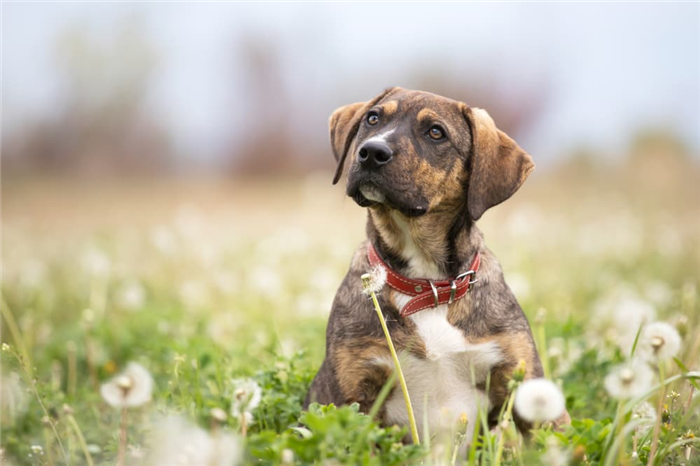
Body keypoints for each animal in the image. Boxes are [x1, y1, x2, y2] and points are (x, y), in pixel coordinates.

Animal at [304, 87, 568, 440]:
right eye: (373, 118)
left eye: (436, 132)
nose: (371, 152)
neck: (428, 284)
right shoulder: (352, 392)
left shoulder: (522, 380)